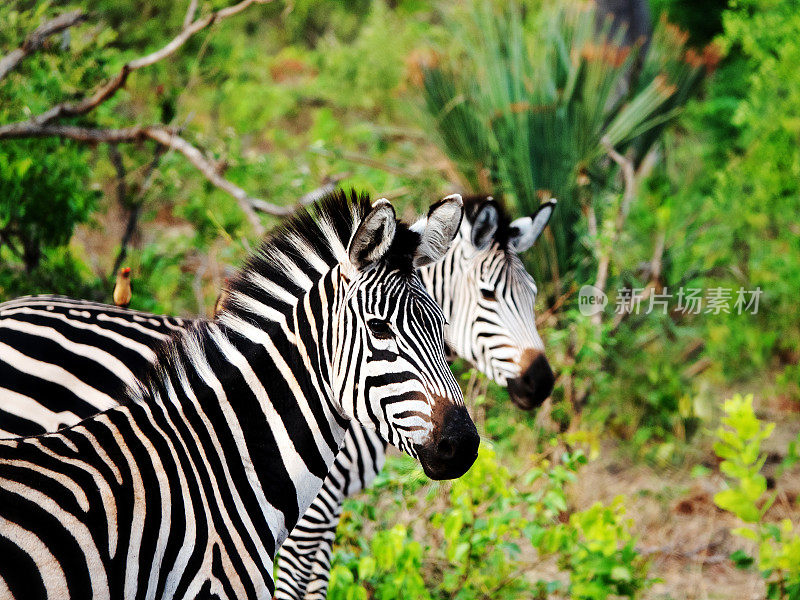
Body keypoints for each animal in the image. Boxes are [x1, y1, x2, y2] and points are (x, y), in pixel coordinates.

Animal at [0, 195, 556, 596]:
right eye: (488, 295)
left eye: (440, 323)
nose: (542, 382)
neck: (228, 453)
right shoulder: (310, 520)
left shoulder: (327, 517)